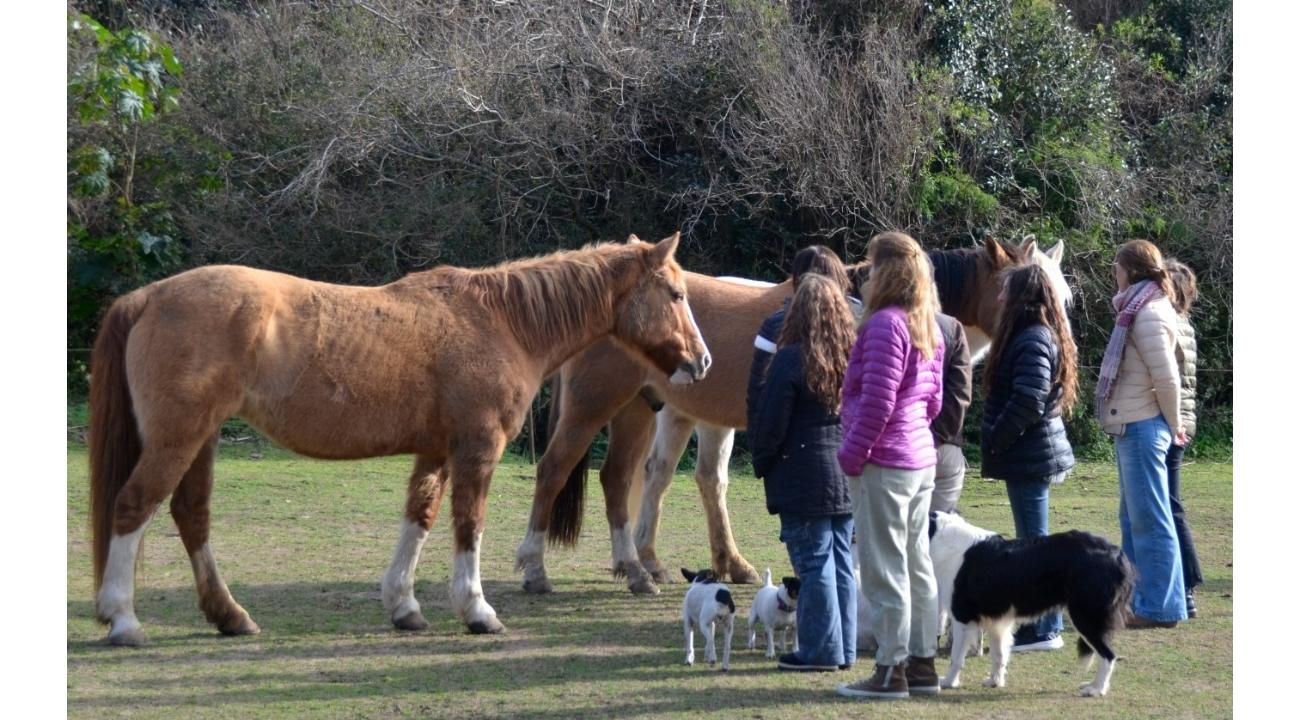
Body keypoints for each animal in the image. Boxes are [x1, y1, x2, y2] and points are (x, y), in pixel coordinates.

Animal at [87, 233, 710, 645]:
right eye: (677, 295)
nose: (701, 361)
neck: (501, 322)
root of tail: (148, 297)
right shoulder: (477, 448)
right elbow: (468, 525)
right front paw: (477, 610)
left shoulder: (435, 451)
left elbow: (420, 519)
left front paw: (404, 606)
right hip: (179, 438)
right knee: (133, 506)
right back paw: (123, 619)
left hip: (202, 439)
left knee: (191, 517)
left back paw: (230, 616)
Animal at [515, 237, 1070, 595]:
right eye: (1021, 289)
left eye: (1062, 295)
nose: (1059, 354)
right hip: (596, 407)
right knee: (556, 470)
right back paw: (537, 569)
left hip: (648, 411)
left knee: (639, 478)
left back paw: (650, 566)